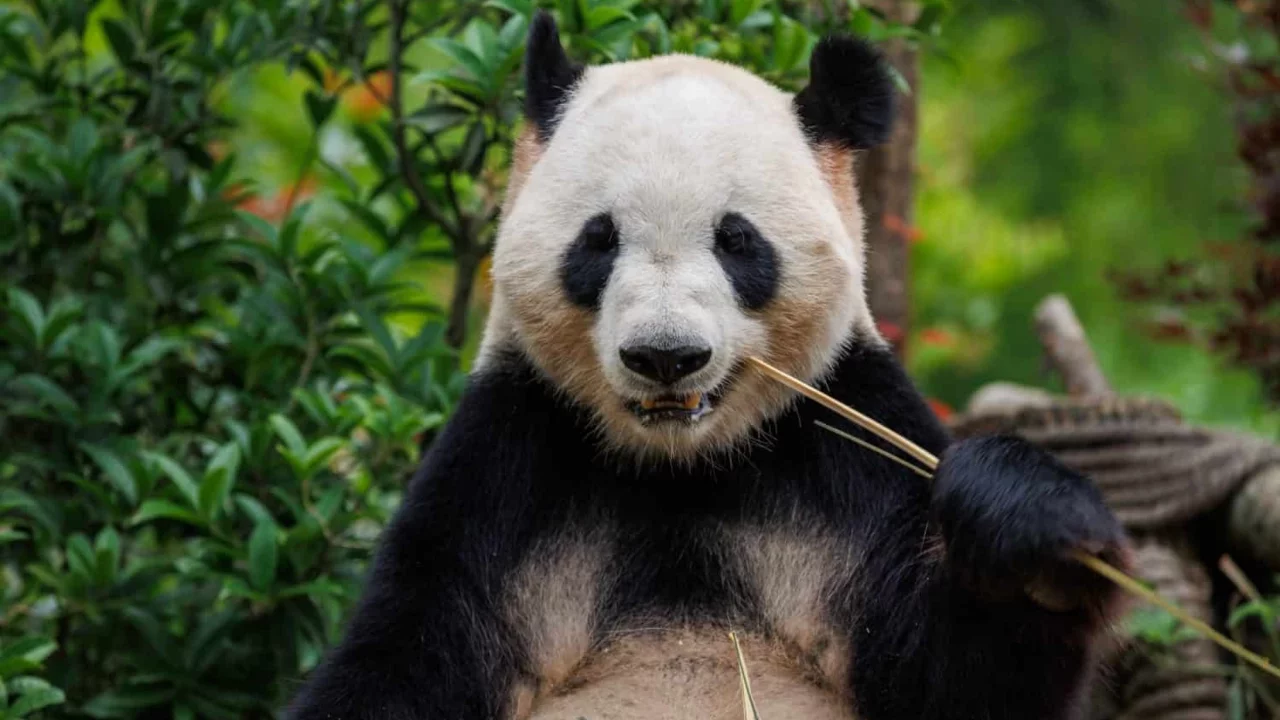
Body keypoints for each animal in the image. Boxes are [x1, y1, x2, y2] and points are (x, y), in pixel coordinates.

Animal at [287, 11, 1130, 720]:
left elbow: (955, 676)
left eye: (738, 241)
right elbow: (404, 659)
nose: (666, 356)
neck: (682, 468)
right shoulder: (506, 470)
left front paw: (1031, 530)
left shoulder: (848, 449)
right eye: (598, 240)